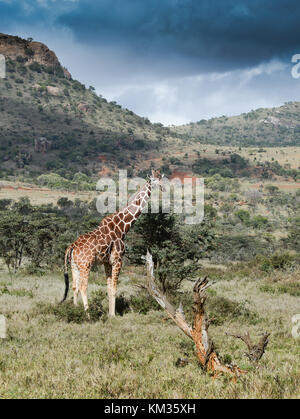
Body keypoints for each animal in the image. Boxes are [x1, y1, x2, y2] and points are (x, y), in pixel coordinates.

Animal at [61, 169, 164, 316]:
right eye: (154, 179)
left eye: (161, 178)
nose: (162, 187)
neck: (122, 227)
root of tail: (72, 246)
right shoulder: (117, 260)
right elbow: (114, 288)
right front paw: (113, 315)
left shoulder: (107, 262)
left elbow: (109, 288)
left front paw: (110, 314)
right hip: (85, 265)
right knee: (83, 287)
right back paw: (88, 314)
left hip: (74, 265)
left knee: (74, 286)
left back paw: (75, 311)